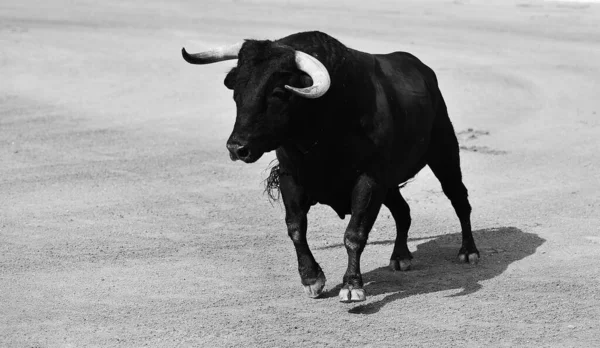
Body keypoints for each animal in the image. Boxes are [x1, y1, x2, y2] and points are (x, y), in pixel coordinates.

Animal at [180, 30, 480, 302]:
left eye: (276, 92)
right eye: (237, 92)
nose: (237, 148)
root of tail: (422, 70)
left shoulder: (369, 180)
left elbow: (354, 234)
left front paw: (351, 286)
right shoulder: (292, 177)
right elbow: (295, 227)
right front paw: (311, 279)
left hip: (444, 153)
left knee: (459, 199)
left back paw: (468, 251)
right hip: (391, 181)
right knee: (403, 211)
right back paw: (400, 256)